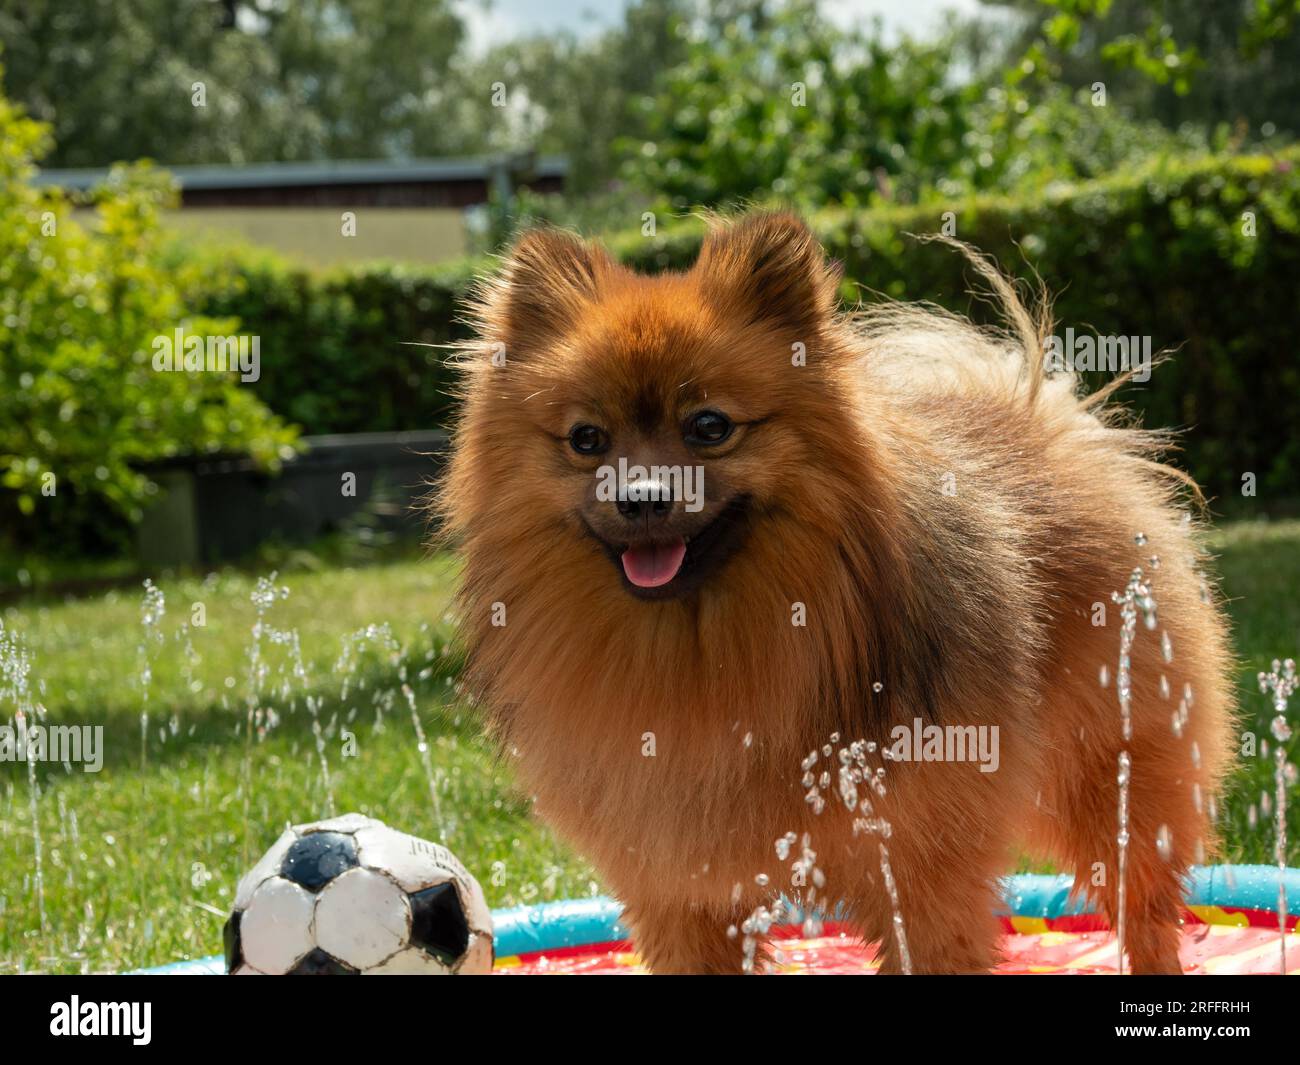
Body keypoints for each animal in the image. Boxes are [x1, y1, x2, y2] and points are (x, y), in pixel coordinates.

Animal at [436, 208, 1227, 972]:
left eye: (709, 427)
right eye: (587, 440)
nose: (642, 497)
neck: (702, 654)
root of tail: (1040, 418)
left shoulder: (920, 871)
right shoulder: (682, 891)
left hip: (1114, 782)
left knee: (1144, 912)